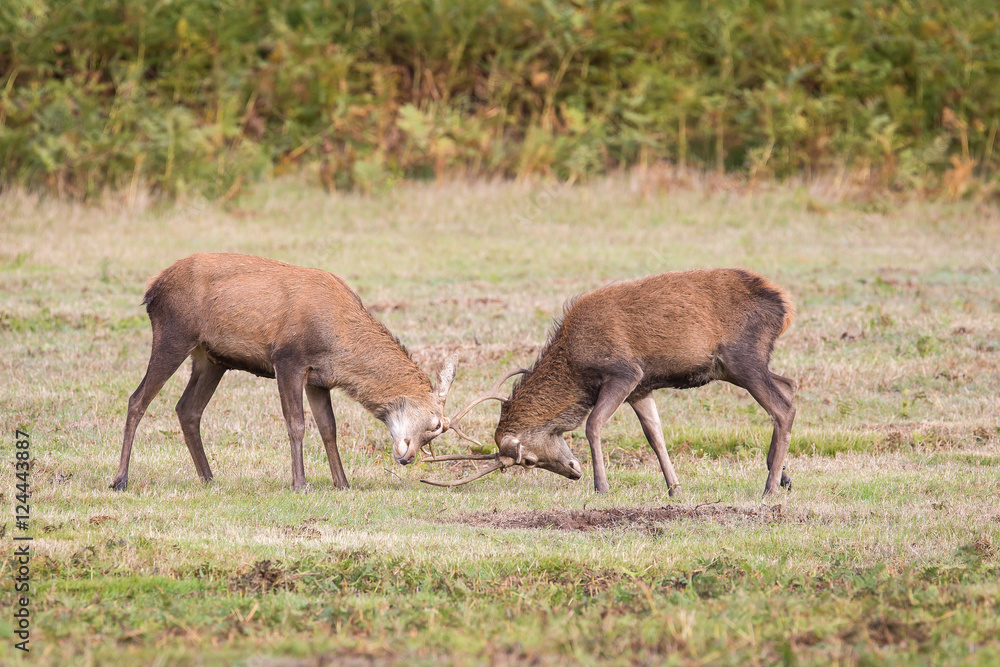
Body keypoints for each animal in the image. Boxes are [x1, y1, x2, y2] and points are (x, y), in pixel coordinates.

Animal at [111, 253, 460, 492]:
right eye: (436, 424)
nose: (408, 456)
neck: (338, 342)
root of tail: (151, 290)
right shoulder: (288, 359)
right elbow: (296, 424)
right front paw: (300, 483)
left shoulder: (319, 379)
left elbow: (328, 428)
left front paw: (342, 483)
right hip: (173, 335)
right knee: (137, 399)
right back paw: (120, 480)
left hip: (211, 359)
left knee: (187, 409)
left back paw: (208, 477)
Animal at [421, 268, 797, 498]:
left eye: (526, 462)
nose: (574, 471)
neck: (575, 368)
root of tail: (785, 306)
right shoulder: (642, 388)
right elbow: (655, 436)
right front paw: (674, 487)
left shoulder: (624, 372)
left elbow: (593, 424)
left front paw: (601, 486)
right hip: (737, 366)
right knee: (790, 384)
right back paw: (783, 475)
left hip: (742, 357)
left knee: (782, 407)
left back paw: (769, 488)